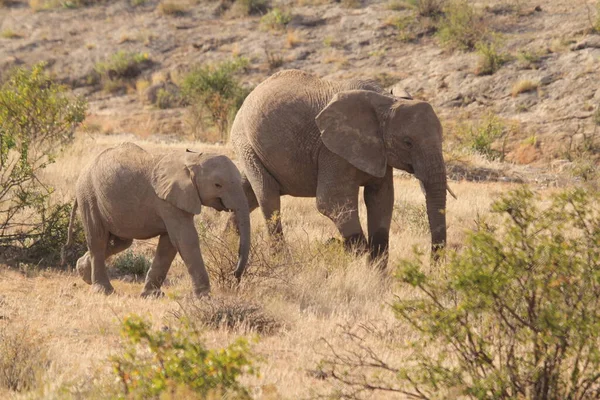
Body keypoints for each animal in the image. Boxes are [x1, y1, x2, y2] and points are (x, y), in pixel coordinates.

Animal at [61, 141, 248, 296]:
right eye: (218, 185)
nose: (235, 274)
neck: (192, 159)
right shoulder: (168, 200)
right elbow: (185, 239)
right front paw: (204, 297)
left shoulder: (176, 200)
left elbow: (169, 244)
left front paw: (151, 295)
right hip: (88, 196)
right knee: (98, 240)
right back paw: (103, 291)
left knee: (120, 242)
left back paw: (83, 271)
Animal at [227, 69, 448, 266]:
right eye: (408, 142)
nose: (433, 268)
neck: (386, 100)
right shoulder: (331, 150)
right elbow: (331, 202)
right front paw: (351, 257)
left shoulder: (379, 152)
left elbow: (381, 200)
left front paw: (376, 274)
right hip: (245, 142)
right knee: (268, 197)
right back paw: (282, 262)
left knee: (247, 194)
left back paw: (226, 246)